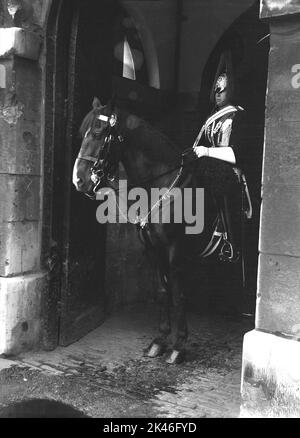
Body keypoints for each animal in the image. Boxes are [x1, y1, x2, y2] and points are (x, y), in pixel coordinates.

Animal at [73, 97, 246, 364]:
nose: (79, 180)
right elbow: (164, 291)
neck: (160, 185)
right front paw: (160, 341)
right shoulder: (153, 250)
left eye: (99, 132)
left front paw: (178, 345)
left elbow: (179, 295)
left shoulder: (175, 251)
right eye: (83, 132)